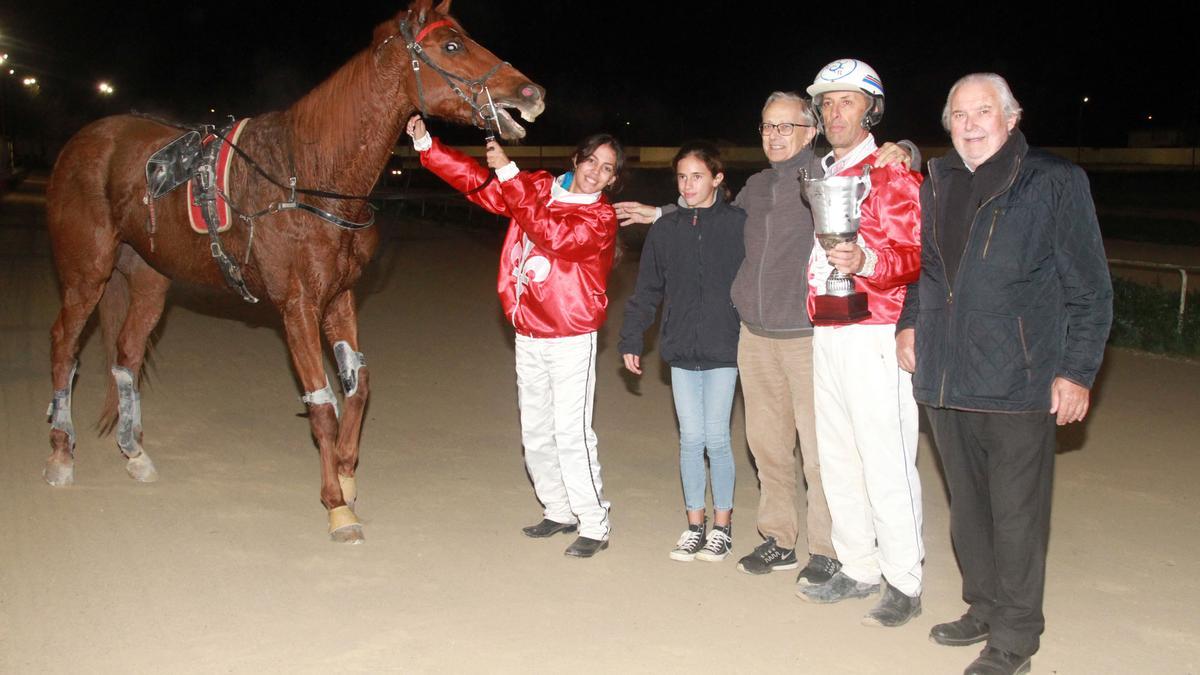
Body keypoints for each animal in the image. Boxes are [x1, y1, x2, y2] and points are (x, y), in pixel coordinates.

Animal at [42, 0, 547, 538]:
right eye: (451, 45)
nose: (531, 93)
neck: (307, 175)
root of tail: (83, 141)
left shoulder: (338, 299)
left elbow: (358, 387)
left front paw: (346, 473)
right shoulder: (297, 306)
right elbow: (322, 404)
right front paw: (337, 506)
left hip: (149, 280)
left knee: (127, 356)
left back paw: (134, 452)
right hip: (86, 274)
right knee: (64, 347)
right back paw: (61, 454)